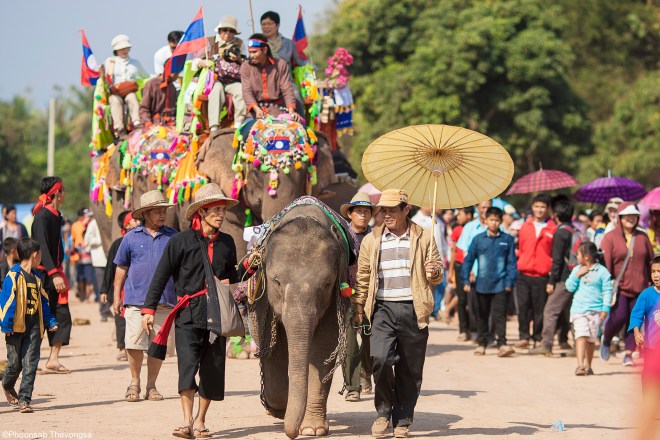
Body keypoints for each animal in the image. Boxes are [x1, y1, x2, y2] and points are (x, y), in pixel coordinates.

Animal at [248, 202, 353, 439]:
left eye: (326, 284)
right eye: (277, 282)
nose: (291, 434)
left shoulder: (335, 296)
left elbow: (324, 345)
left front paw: (312, 429)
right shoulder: (263, 298)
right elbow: (271, 345)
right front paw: (278, 410)